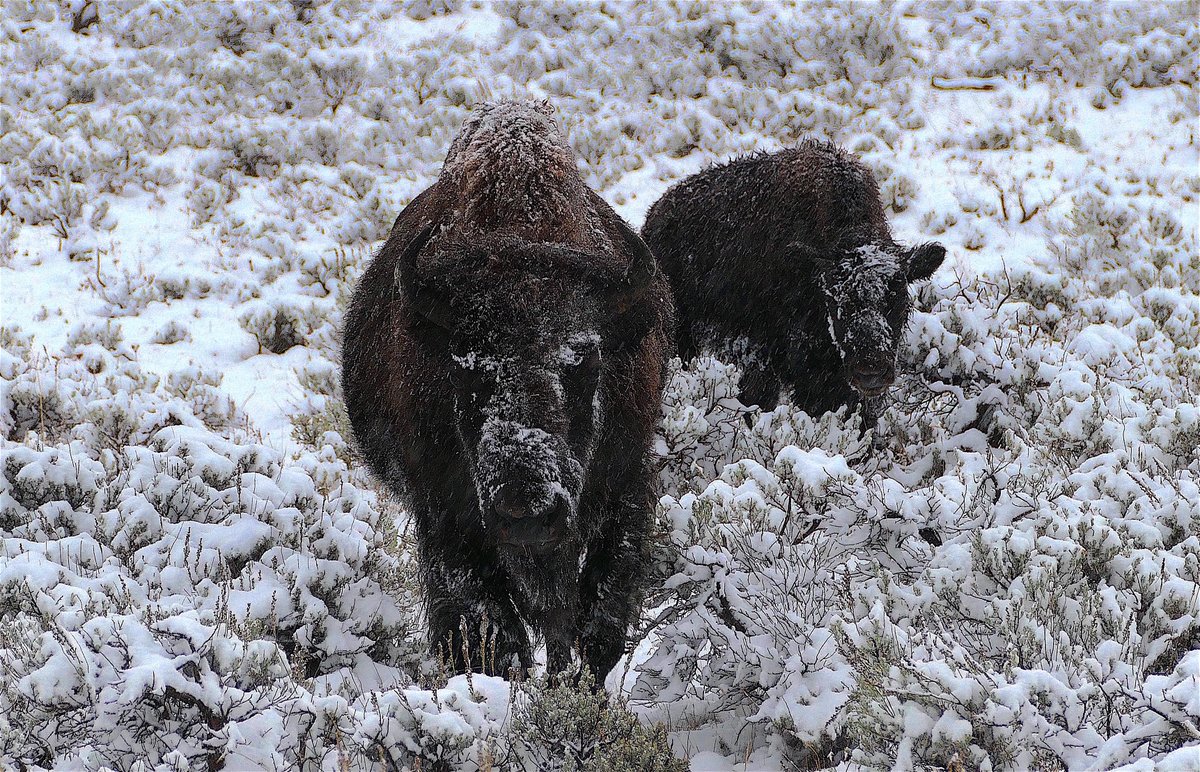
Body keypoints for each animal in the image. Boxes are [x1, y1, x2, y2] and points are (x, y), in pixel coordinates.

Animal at [341, 102, 673, 679]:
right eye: (467, 368)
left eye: (583, 360)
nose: (526, 507)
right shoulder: (445, 518)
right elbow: (487, 627)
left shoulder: (626, 485)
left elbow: (601, 613)